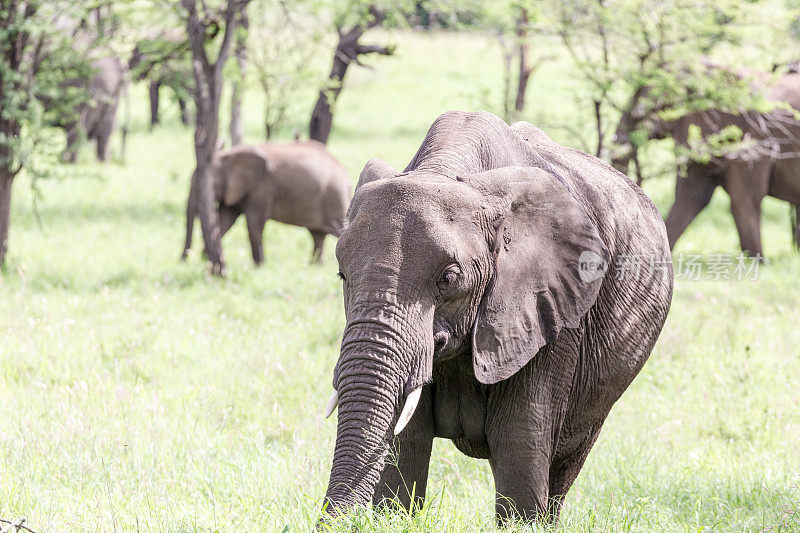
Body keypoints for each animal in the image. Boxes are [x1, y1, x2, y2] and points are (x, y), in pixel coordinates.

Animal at [184, 140, 354, 264]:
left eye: (209, 186)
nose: (184, 259)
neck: (229, 157)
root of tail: (345, 171)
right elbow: (225, 220)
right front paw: (206, 259)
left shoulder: (263, 188)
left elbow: (254, 223)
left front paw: (260, 265)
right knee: (317, 235)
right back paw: (315, 265)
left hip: (334, 195)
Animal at [322, 109, 672, 524]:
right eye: (342, 274)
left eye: (448, 278)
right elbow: (406, 441)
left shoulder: (551, 311)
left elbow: (519, 439)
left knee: (566, 459)